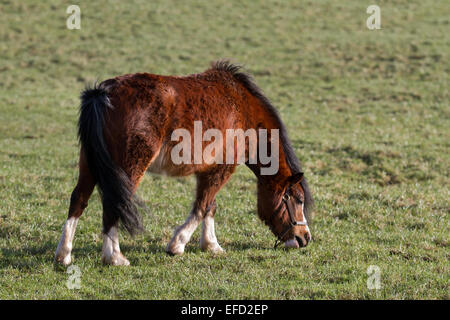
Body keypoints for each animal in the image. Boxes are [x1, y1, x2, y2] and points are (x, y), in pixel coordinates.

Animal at [54, 60, 312, 264]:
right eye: (298, 200)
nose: (305, 237)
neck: (243, 110)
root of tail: (103, 94)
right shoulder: (222, 169)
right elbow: (201, 206)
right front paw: (177, 244)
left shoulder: (208, 169)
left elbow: (210, 206)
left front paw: (211, 245)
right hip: (129, 168)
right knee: (112, 204)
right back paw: (114, 257)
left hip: (90, 163)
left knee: (79, 199)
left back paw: (64, 254)